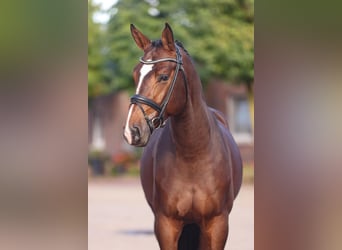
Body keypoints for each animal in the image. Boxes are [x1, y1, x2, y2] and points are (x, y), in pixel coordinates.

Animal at [123, 22, 243, 249]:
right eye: (135, 75)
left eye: (163, 76)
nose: (131, 131)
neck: (193, 155)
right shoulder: (166, 225)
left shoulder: (217, 225)